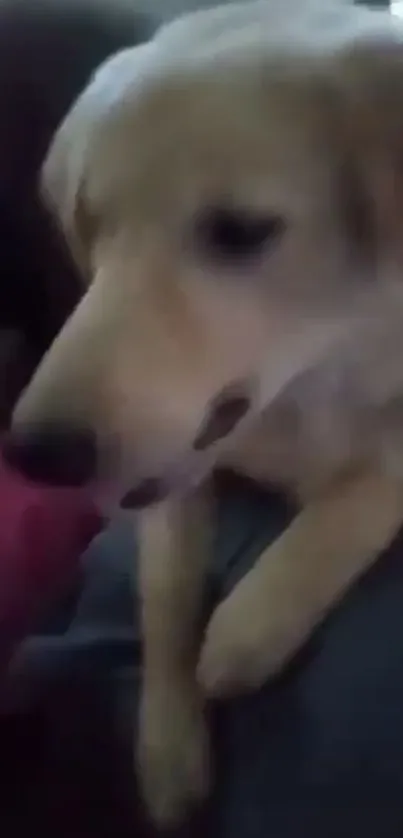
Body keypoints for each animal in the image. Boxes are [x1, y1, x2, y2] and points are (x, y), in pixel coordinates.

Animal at [10, 0, 403, 828]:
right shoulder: (172, 476)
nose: (36, 454)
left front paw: (252, 623)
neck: (305, 385)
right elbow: (163, 595)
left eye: (240, 231)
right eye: (91, 223)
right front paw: (167, 749)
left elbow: (366, 486)